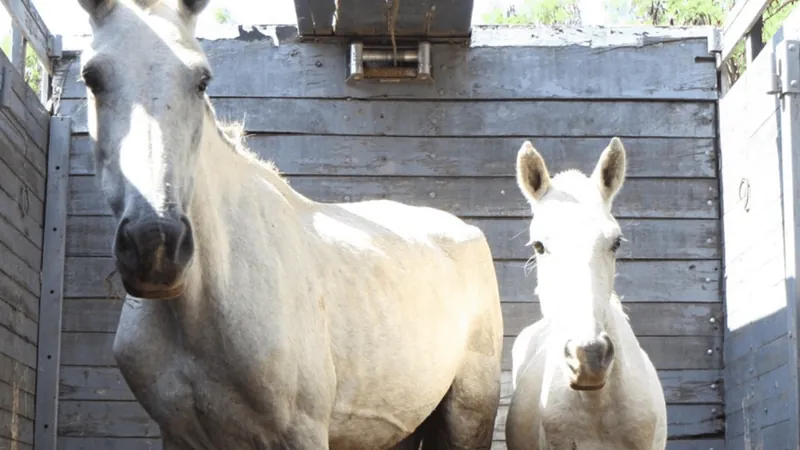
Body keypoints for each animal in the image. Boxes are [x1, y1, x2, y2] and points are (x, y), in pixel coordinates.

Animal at [73, 0, 500, 450]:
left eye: (201, 80)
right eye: (92, 77)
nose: (155, 245)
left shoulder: (301, 433)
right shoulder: (178, 437)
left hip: (468, 414)